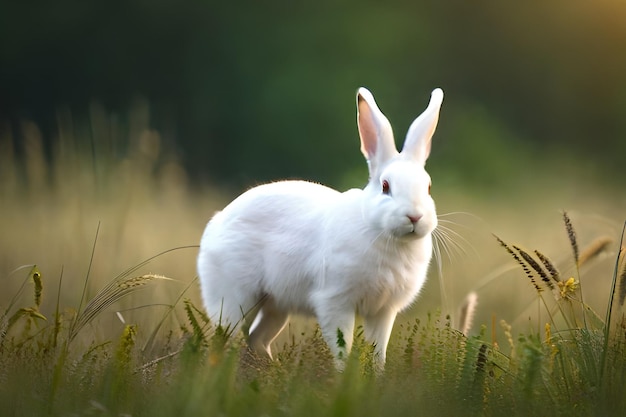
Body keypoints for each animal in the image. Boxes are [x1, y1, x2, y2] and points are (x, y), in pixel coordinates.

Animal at [197, 87, 442, 368]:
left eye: (428, 187)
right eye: (385, 186)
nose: (414, 216)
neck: (380, 232)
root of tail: (216, 224)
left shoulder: (382, 311)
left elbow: (378, 351)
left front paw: (377, 376)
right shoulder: (335, 302)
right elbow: (342, 347)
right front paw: (344, 375)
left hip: (275, 306)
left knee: (256, 338)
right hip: (234, 298)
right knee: (223, 339)